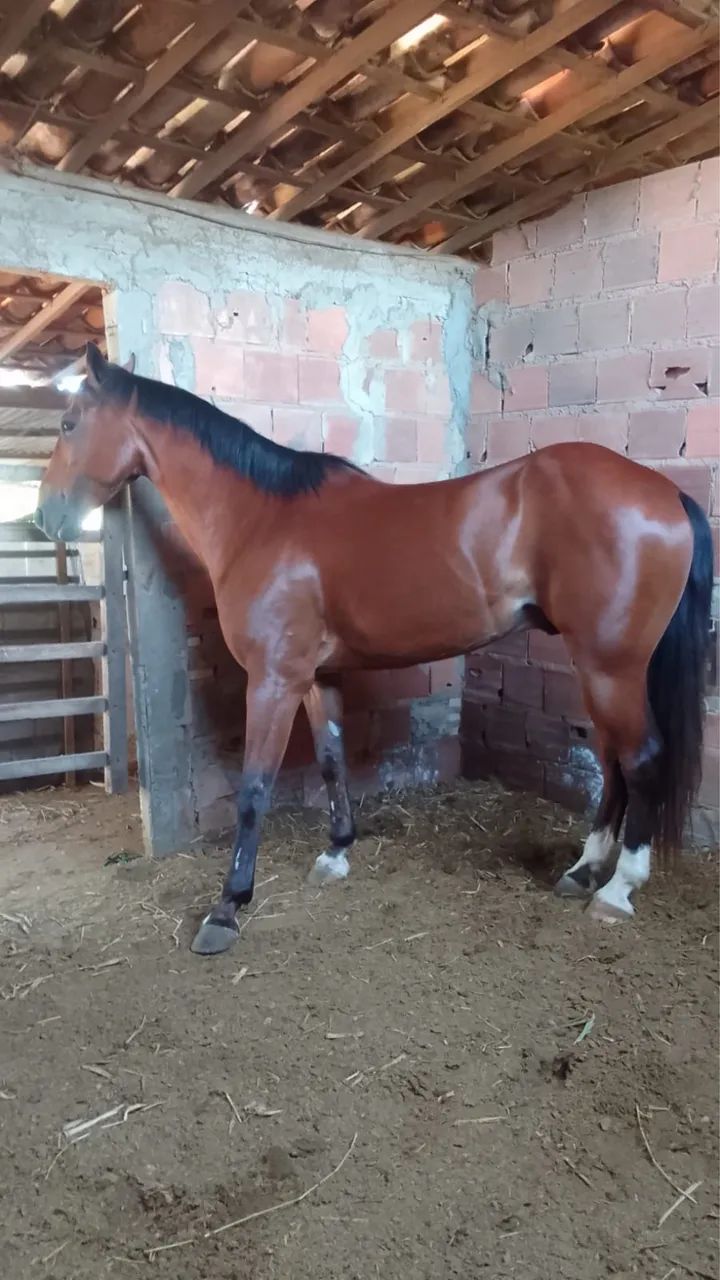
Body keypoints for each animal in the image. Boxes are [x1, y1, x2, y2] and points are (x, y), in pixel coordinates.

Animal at [35, 344, 713, 956]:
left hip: (610, 666)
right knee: (613, 760)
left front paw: (227, 908)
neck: (261, 519)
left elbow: (254, 791)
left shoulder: (273, 680)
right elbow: (333, 761)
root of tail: (666, 494)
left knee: (641, 759)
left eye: (69, 423)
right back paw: (584, 871)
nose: (46, 517)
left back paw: (618, 889)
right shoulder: (316, 677)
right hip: (600, 669)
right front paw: (336, 852)